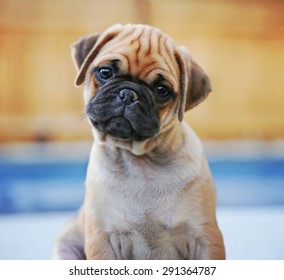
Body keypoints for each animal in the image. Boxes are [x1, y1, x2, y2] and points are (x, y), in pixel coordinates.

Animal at [53, 24, 225, 260]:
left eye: (162, 90)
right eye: (105, 73)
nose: (128, 93)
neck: (141, 160)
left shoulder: (205, 238)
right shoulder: (102, 239)